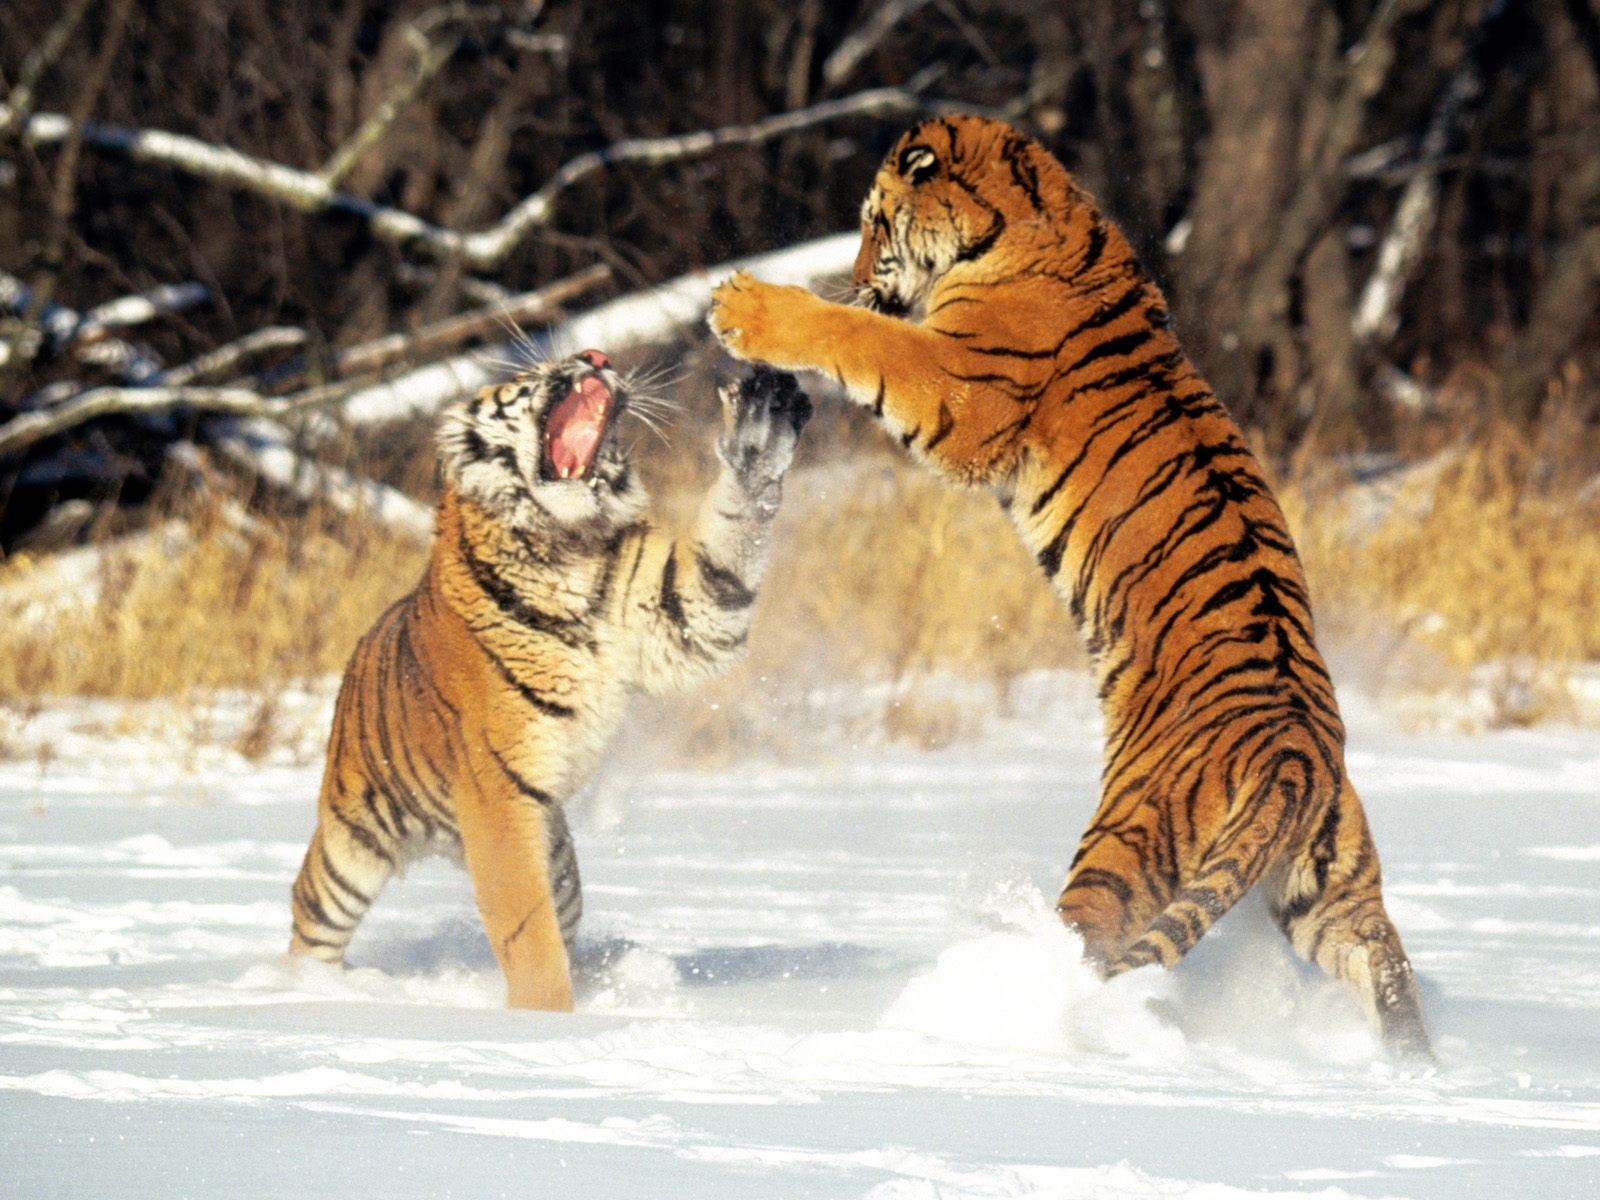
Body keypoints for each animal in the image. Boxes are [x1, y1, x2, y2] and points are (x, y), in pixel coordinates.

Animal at [288, 351, 812, 1010]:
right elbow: (527, 931)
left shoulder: (682, 614)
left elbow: (730, 547)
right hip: (349, 847)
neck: (568, 543)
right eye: (525, 376)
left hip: (558, 860)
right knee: (310, 915)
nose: (596, 356)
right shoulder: (498, 797)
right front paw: (549, 1021)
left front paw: (760, 434)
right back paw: (301, 990)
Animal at [708, 115, 1432, 1058]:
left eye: (873, 223)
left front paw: (747, 306)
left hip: (1123, 846)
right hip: (1329, 889)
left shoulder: (959, 391)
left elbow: (862, 341)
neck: (1036, 208)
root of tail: (1295, 751)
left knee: (1084, 944)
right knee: (1383, 962)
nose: (861, 276)